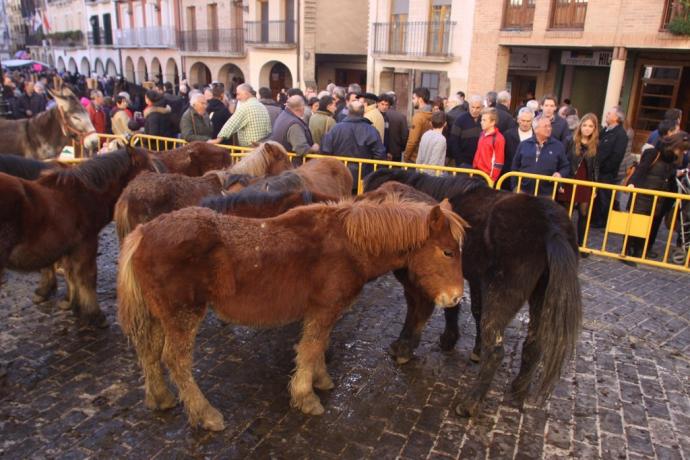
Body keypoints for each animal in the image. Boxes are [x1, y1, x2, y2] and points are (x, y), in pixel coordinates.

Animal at [1, 147, 155, 328]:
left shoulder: (70, 246)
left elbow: (71, 274)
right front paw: (94, 315)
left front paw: (72, 303)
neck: (84, 193)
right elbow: (87, 277)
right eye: (148, 170)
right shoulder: (86, 243)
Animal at [118, 191, 464, 432]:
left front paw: (320, 380)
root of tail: (142, 233)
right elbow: (310, 349)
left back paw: (160, 398)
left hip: (158, 316)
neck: (349, 244)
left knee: (149, 353)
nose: (456, 299)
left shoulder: (321, 312)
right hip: (183, 316)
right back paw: (205, 414)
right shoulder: (324, 309)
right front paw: (306, 397)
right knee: (176, 361)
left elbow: (317, 347)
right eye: (447, 252)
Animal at [362, 171, 576, 418]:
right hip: (540, 296)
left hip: (502, 293)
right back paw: (518, 387)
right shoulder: (472, 279)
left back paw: (471, 402)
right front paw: (471, 347)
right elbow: (471, 309)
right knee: (534, 343)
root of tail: (551, 226)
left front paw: (407, 346)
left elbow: (422, 309)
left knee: (497, 350)